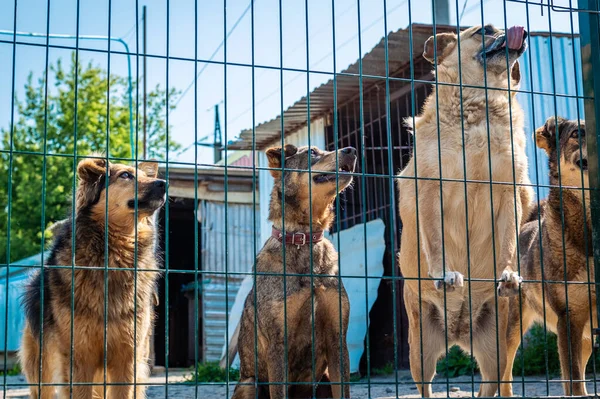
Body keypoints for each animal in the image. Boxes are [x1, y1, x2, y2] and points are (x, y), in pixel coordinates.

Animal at [19, 158, 165, 398]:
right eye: (126, 175)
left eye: (145, 176)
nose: (163, 183)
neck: (113, 259)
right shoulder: (79, 358)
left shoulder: (127, 359)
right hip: (42, 371)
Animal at [232, 145, 356, 399]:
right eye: (311, 152)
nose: (352, 149)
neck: (304, 238)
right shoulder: (278, 343)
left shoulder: (337, 340)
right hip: (249, 383)